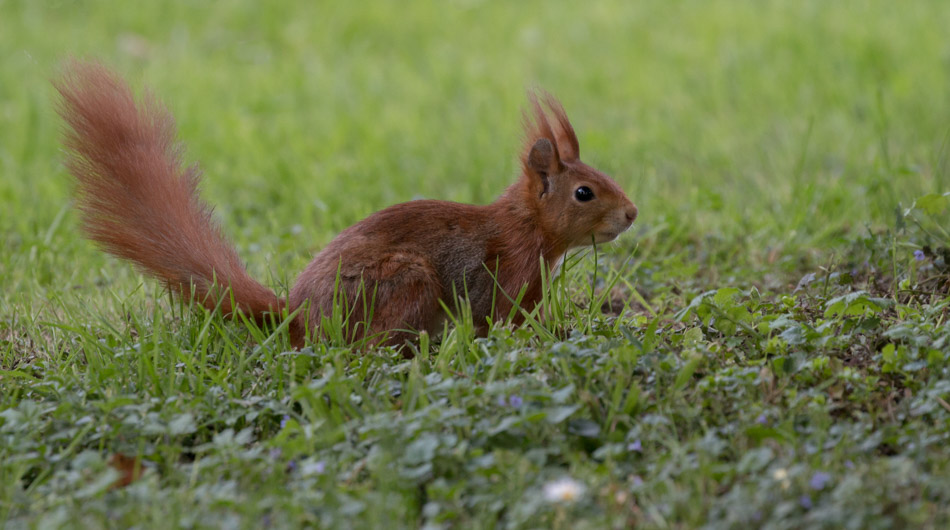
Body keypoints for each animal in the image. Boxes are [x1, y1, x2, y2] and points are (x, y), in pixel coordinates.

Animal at [57, 60, 640, 350]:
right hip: (405, 283)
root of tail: (296, 319)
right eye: (584, 193)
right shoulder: (508, 274)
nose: (632, 214)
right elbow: (500, 324)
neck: (528, 228)